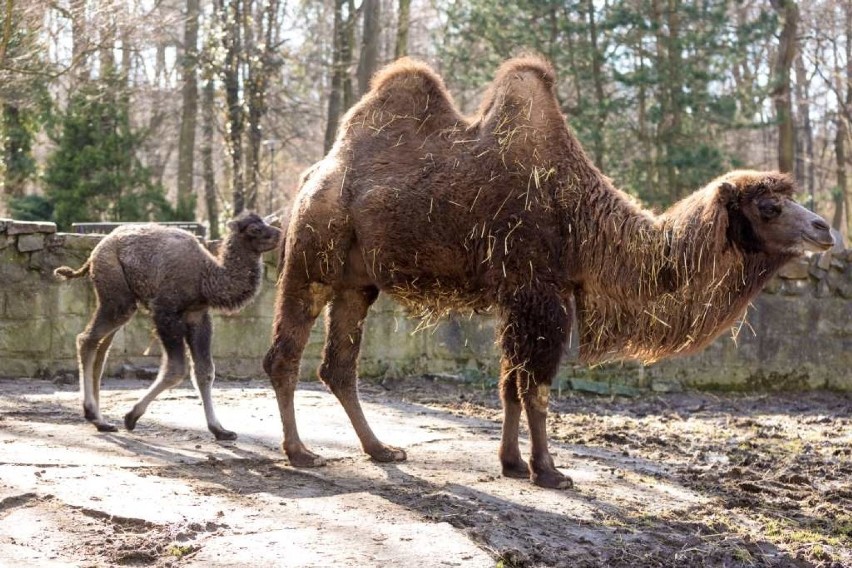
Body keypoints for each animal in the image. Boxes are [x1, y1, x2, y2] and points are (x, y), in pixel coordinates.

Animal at [57, 213, 282, 440]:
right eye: (254, 229)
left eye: (264, 222)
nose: (279, 233)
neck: (206, 276)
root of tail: (94, 253)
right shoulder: (165, 311)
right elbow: (176, 369)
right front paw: (131, 416)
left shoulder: (198, 315)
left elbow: (205, 371)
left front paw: (220, 430)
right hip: (116, 293)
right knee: (86, 339)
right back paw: (94, 416)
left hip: (121, 301)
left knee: (101, 347)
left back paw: (101, 421)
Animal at [264, 56, 832, 488]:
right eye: (769, 207)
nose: (824, 228)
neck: (586, 224)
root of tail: (311, 176)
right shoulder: (542, 293)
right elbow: (534, 387)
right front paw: (550, 472)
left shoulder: (519, 298)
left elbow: (509, 384)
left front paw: (513, 464)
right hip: (311, 256)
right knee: (284, 354)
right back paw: (301, 452)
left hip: (357, 282)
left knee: (339, 366)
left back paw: (381, 450)